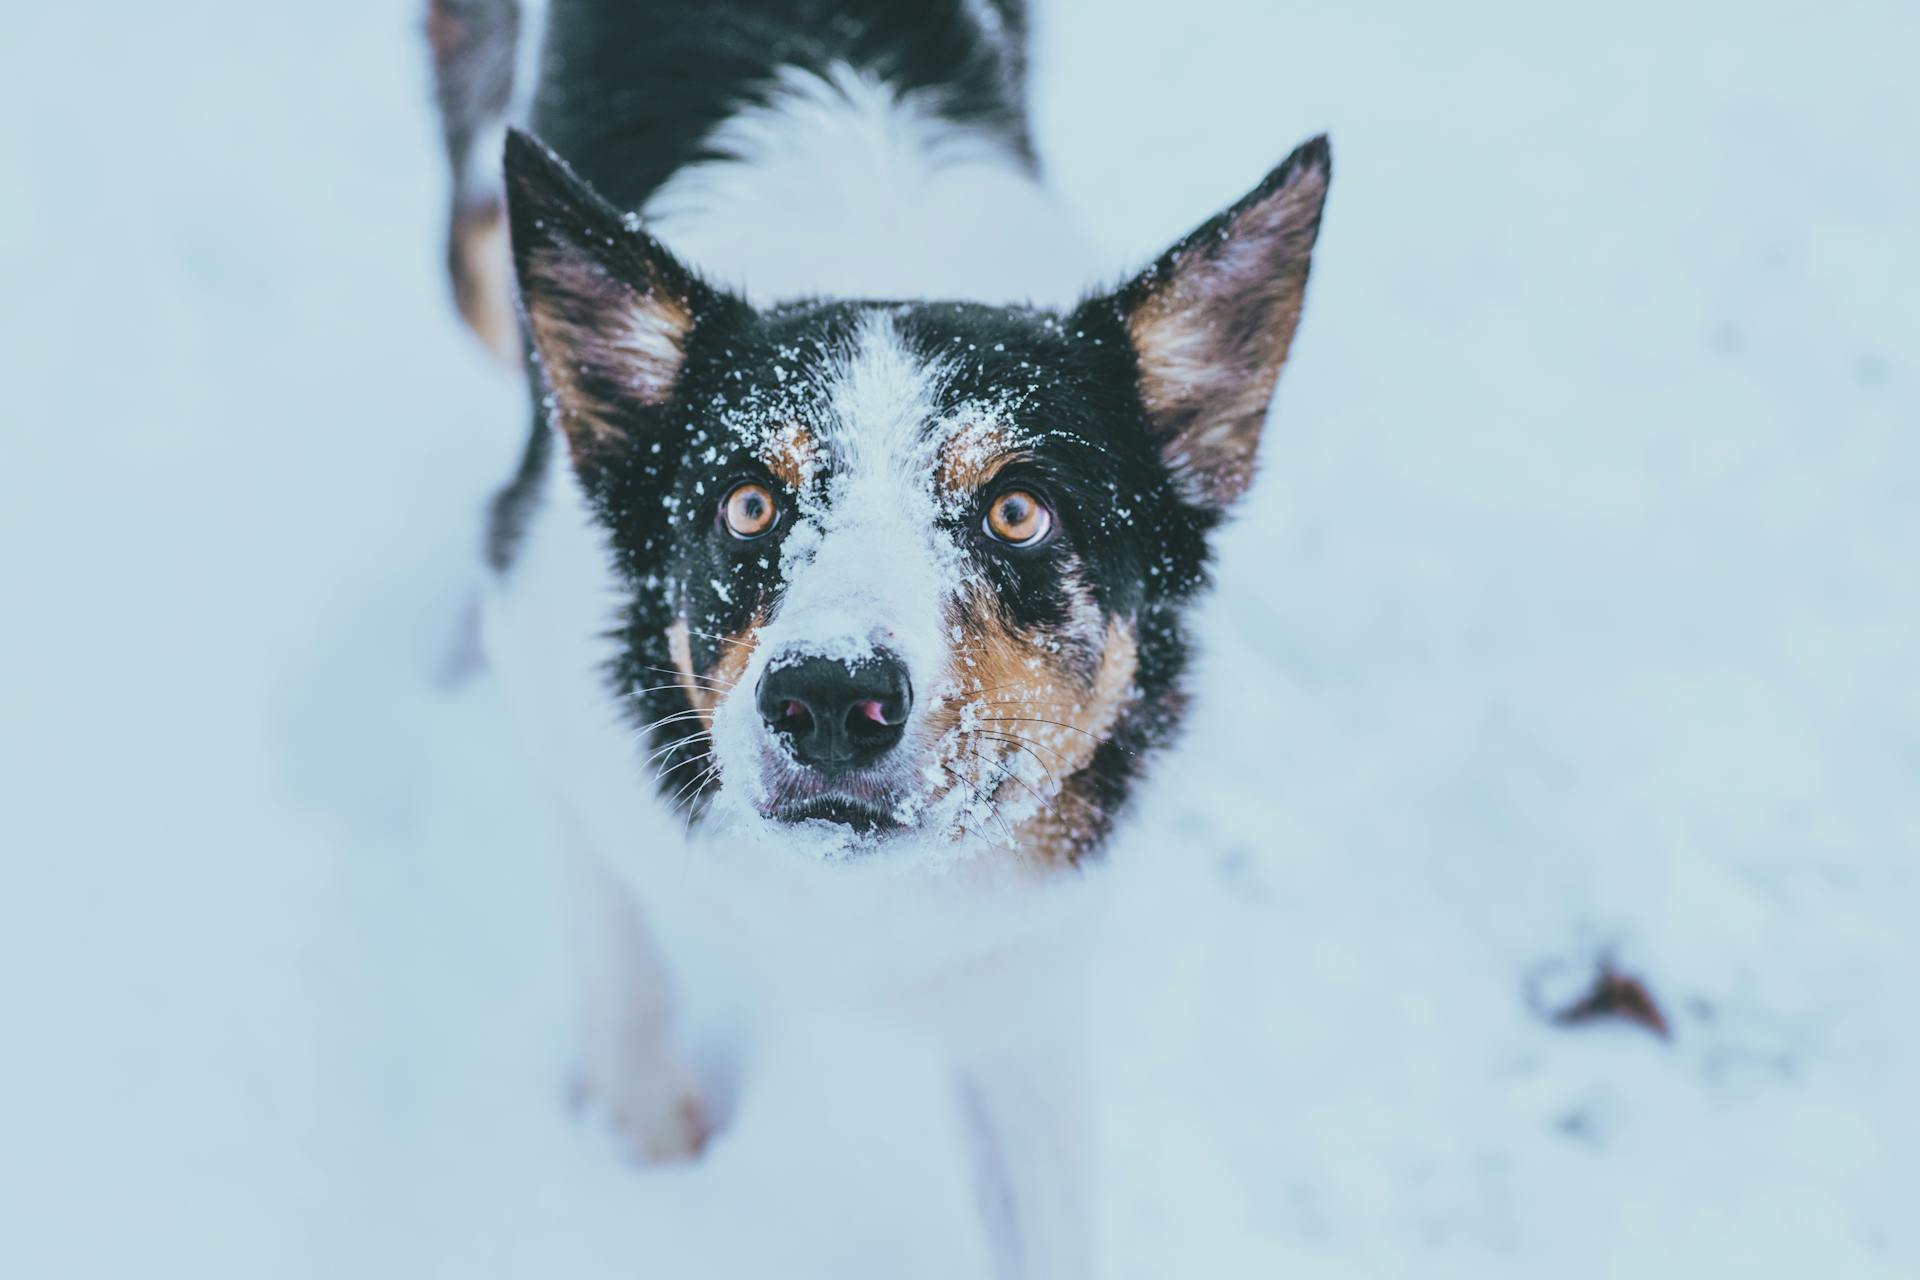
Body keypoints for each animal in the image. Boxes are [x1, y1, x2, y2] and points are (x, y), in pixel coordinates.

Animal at [428, 0, 1328, 1274]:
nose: (825, 700)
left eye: (1019, 510)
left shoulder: (1023, 983)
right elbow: (612, 934)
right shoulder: (557, 680)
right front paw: (643, 1128)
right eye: (747, 504)